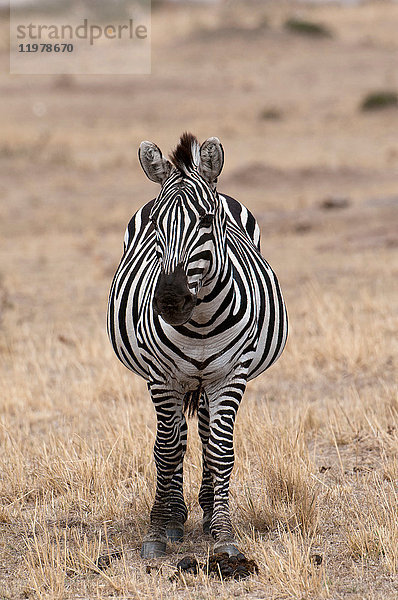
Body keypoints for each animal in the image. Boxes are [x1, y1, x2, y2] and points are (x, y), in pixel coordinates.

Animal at [107, 131, 288, 556]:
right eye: (155, 223)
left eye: (206, 220)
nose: (170, 301)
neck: (201, 322)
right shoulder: (161, 377)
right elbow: (167, 449)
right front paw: (158, 530)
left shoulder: (230, 374)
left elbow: (221, 450)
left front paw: (223, 533)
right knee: (178, 436)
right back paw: (176, 515)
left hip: (209, 381)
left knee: (205, 433)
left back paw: (205, 510)